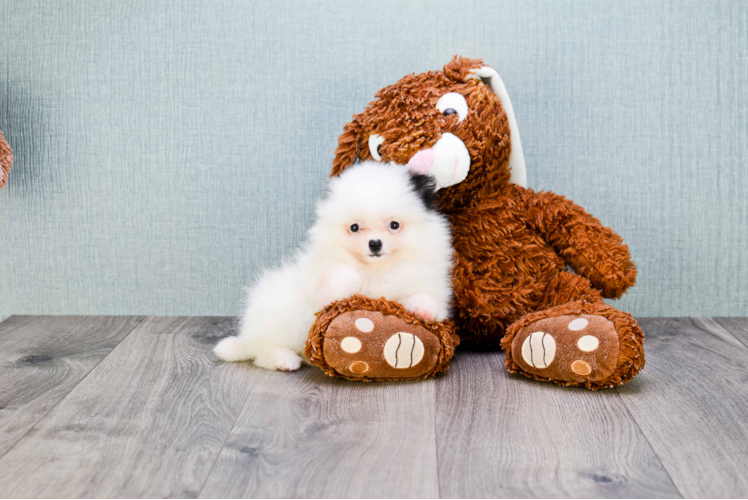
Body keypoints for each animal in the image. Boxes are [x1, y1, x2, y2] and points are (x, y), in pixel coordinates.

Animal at [213, 161, 452, 372]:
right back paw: (284, 359)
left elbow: (425, 297)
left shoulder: (423, 281)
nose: (375, 243)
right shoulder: (325, 273)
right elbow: (344, 277)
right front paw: (335, 291)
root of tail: (247, 336)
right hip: (282, 312)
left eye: (394, 225)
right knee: (262, 351)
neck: (376, 268)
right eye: (354, 227)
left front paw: (424, 310)